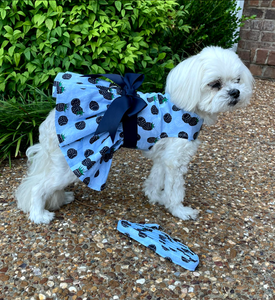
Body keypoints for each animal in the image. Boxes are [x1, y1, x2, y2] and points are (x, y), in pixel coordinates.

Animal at [15, 46, 254, 223]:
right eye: (215, 84)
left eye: (237, 80)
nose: (235, 93)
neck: (187, 106)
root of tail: (49, 121)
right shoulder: (175, 160)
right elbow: (175, 190)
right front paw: (179, 210)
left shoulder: (163, 156)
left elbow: (156, 179)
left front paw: (156, 197)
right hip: (72, 165)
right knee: (37, 187)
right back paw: (39, 215)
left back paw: (61, 198)